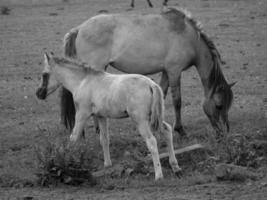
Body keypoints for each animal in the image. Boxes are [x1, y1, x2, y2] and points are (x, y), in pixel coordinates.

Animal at [36, 52, 182, 180]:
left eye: (44, 75)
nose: (38, 94)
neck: (83, 81)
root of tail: (151, 84)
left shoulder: (82, 114)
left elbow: (73, 138)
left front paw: (67, 164)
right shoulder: (101, 116)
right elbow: (104, 139)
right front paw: (107, 165)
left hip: (140, 120)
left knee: (151, 141)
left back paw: (159, 175)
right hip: (154, 117)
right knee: (167, 130)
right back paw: (175, 167)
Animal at [60, 6, 234, 138]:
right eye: (219, 106)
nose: (224, 132)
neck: (188, 36)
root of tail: (79, 29)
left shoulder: (166, 72)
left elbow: (161, 95)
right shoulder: (174, 71)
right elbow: (177, 101)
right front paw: (180, 129)